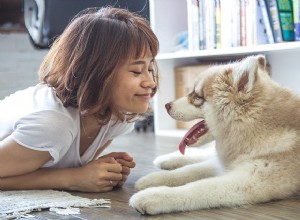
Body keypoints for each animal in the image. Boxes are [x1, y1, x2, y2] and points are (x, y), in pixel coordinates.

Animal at [129, 55, 300, 215]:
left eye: (198, 97)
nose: (166, 105)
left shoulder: (250, 180)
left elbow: (198, 187)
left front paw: (153, 196)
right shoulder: (227, 164)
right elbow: (190, 170)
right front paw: (153, 179)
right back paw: (167, 159)